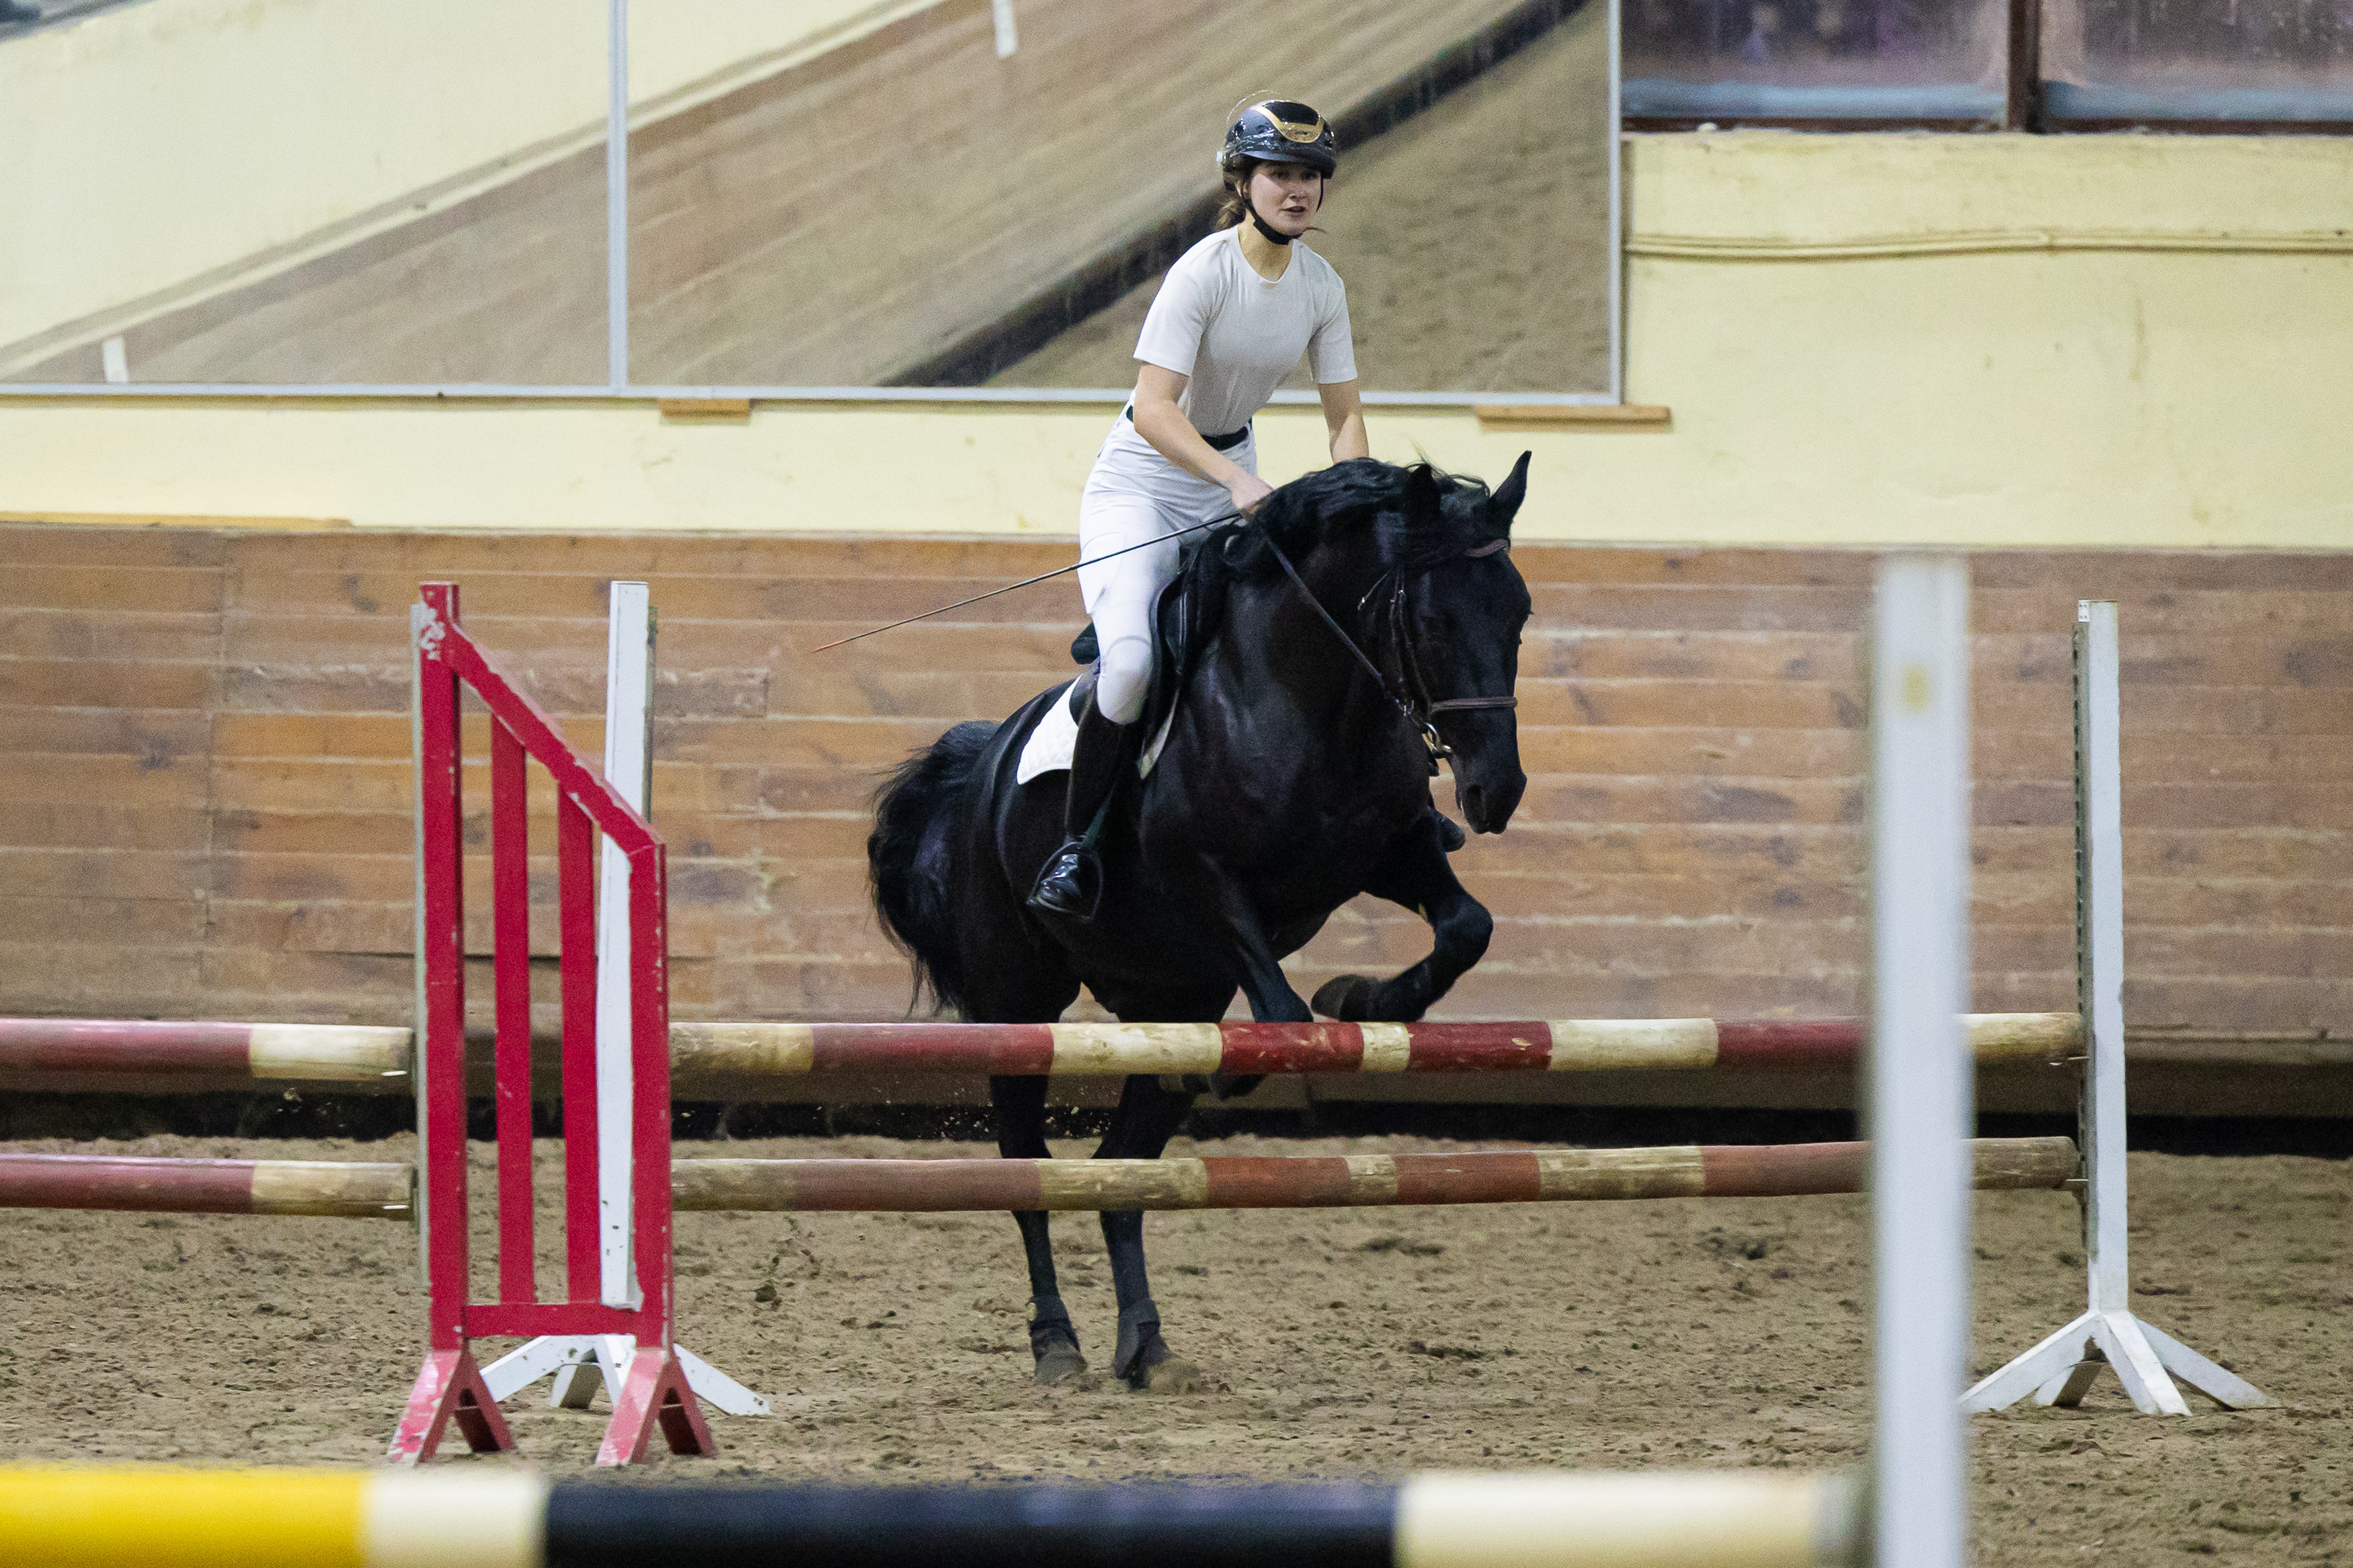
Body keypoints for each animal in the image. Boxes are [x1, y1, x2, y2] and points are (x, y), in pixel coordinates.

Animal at [867, 453, 1532, 1391]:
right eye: (1434, 618)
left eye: (1518, 612)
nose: (1495, 792)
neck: (1311, 694)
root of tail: (983, 763)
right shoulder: (1206, 881)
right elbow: (1283, 1015)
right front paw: (1242, 1066)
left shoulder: (1393, 851)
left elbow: (1465, 927)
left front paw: (1363, 999)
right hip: (1017, 1001)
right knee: (1027, 1168)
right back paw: (1057, 1343)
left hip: (1169, 992)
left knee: (1118, 1172)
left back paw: (1145, 1344)